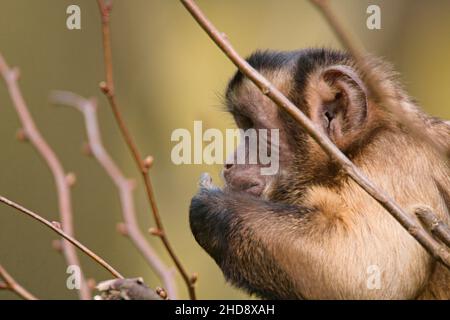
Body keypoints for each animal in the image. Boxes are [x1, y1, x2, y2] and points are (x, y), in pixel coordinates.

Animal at [189, 48, 450, 300]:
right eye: (244, 126)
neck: (364, 142)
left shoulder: (391, 158)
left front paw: (210, 205)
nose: (229, 163)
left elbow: (366, 271)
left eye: (256, 129)